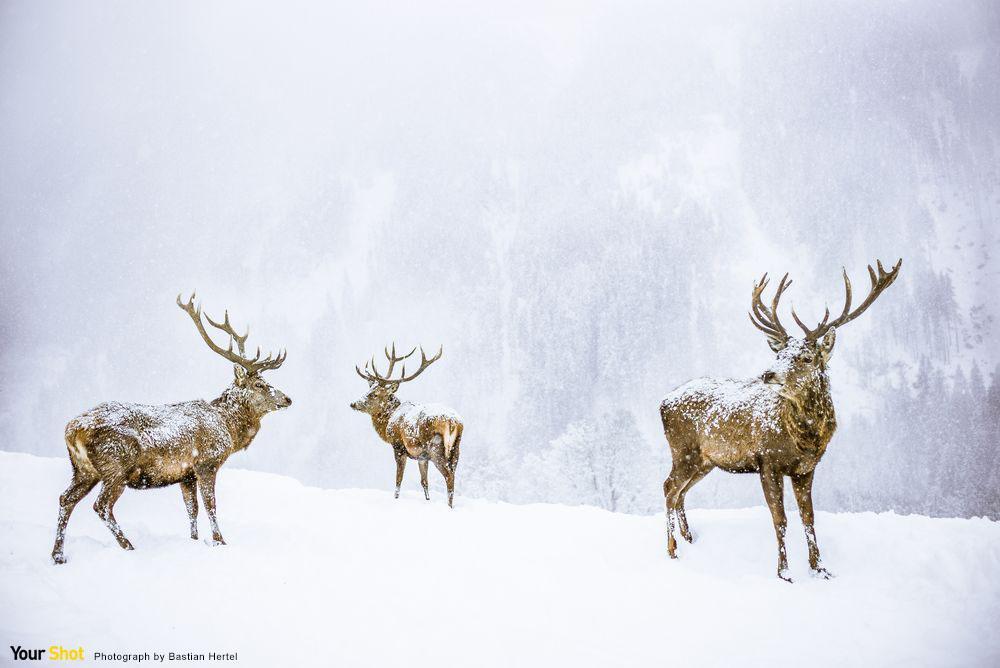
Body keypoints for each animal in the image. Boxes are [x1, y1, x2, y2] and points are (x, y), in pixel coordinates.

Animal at [49, 294, 292, 564]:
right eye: (260, 384)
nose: (288, 399)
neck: (228, 428)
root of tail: (72, 430)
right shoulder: (206, 462)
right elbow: (210, 505)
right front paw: (220, 541)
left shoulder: (185, 475)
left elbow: (191, 509)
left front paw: (194, 541)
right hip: (116, 465)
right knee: (101, 505)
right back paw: (128, 546)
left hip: (83, 469)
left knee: (65, 499)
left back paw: (58, 555)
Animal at [350, 344, 462, 506]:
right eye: (369, 389)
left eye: (374, 394)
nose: (353, 403)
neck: (388, 422)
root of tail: (454, 422)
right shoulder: (422, 457)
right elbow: (424, 482)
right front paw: (427, 500)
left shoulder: (398, 446)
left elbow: (398, 479)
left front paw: (395, 499)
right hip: (455, 449)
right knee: (453, 475)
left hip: (436, 447)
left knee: (449, 476)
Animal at [660, 258, 904, 580]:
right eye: (780, 355)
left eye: (806, 358)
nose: (768, 374)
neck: (804, 439)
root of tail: (663, 402)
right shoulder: (768, 462)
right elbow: (781, 519)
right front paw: (785, 572)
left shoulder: (806, 469)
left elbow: (808, 517)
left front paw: (820, 568)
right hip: (683, 449)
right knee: (669, 488)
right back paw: (672, 550)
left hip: (705, 460)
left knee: (682, 492)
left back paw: (689, 539)